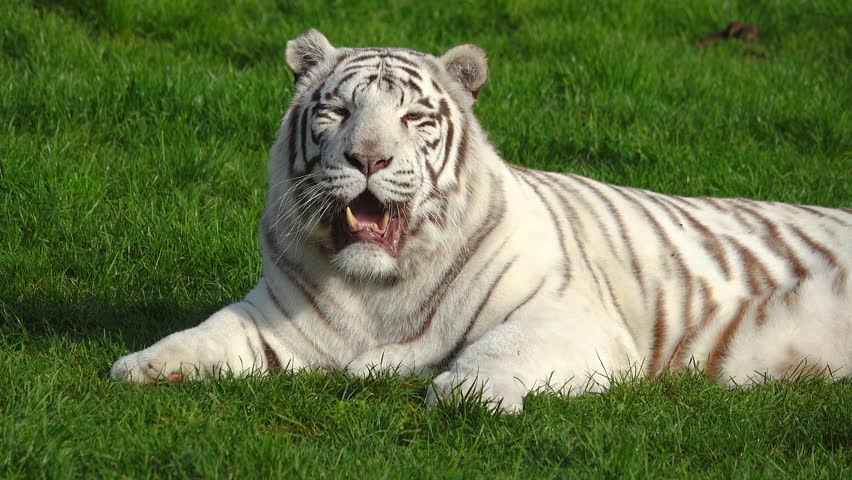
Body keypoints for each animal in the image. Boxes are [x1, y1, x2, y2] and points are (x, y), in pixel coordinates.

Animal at [111, 29, 852, 412]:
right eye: (336, 111)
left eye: (414, 118)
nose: (368, 158)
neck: (377, 287)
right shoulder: (273, 314)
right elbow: (211, 332)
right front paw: (145, 365)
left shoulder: (570, 313)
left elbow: (503, 347)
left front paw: (465, 392)